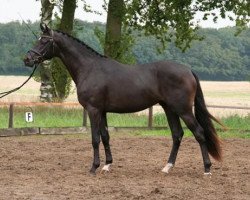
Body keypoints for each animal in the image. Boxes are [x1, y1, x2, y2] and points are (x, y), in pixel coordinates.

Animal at [23, 24, 223, 175]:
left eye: (44, 40)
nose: (27, 59)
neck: (89, 68)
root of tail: (188, 70)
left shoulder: (93, 110)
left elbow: (95, 138)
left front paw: (93, 168)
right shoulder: (102, 111)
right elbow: (105, 136)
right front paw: (107, 165)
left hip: (183, 109)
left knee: (199, 133)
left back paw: (207, 169)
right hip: (170, 109)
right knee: (177, 135)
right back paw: (167, 167)